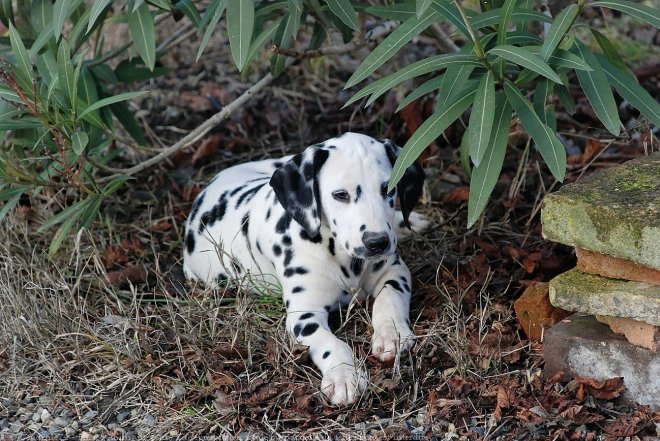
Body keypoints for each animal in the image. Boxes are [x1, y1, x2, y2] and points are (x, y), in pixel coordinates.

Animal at [182, 131, 428, 406]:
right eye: (340, 194)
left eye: (388, 188)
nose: (377, 242)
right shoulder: (303, 315)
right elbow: (330, 342)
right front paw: (344, 375)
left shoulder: (393, 271)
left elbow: (390, 298)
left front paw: (391, 334)